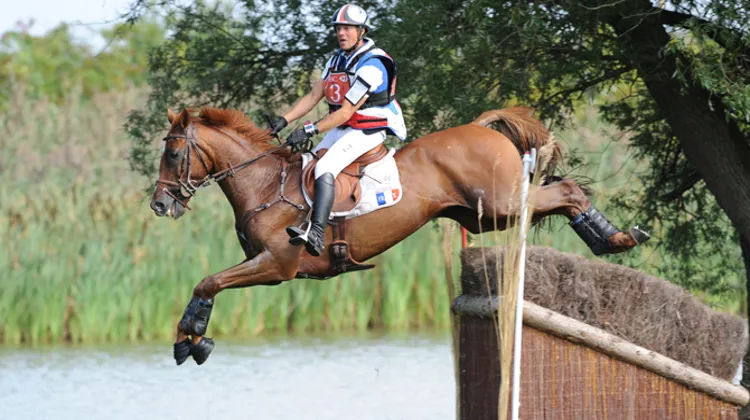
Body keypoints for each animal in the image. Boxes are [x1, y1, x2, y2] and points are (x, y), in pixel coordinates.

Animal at [150, 106, 650, 365]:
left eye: (173, 154)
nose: (158, 205)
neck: (265, 184)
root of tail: (480, 127)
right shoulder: (262, 264)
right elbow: (207, 285)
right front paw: (188, 338)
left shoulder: (277, 266)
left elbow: (208, 282)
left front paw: (193, 338)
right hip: (482, 217)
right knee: (560, 194)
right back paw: (611, 238)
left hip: (502, 205)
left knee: (566, 190)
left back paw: (615, 239)